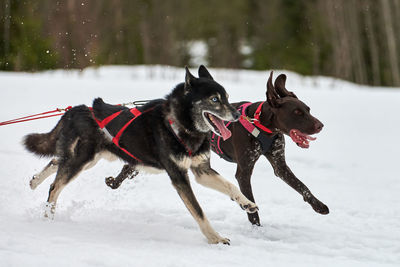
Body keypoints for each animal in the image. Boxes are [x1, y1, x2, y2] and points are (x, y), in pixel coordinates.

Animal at [104, 71, 330, 226]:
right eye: (297, 112)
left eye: (308, 109)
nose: (320, 125)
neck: (262, 125)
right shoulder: (243, 171)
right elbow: (250, 203)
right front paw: (257, 227)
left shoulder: (279, 165)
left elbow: (302, 186)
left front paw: (318, 205)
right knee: (127, 167)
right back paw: (113, 182)